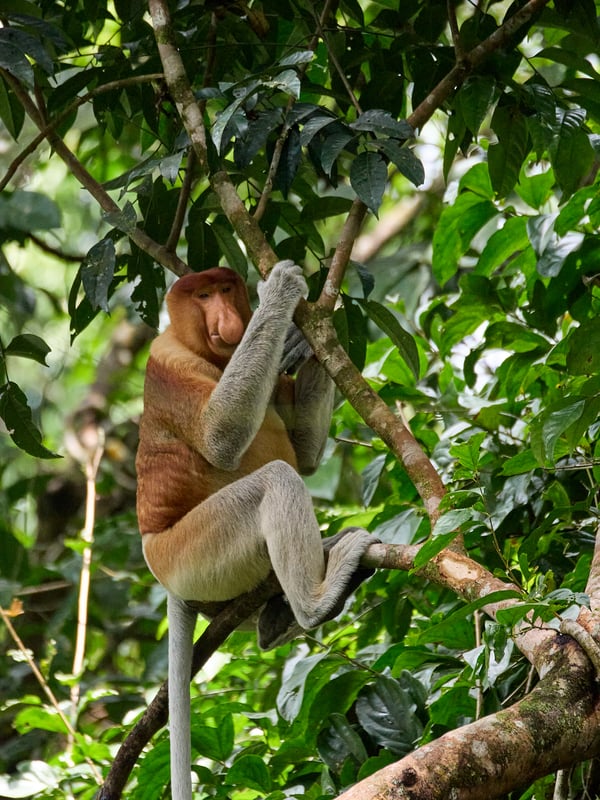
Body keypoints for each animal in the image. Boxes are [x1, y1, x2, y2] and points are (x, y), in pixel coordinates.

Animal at [135, 260, 376, 800]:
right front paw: (282, 288)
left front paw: (303, 335)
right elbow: (223, 437)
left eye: (227, 289)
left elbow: (305, 450)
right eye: (203, 296)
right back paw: (315, 602)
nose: (228, 319)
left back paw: (280, 612)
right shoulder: (168, 364)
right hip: (194, 550)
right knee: (275, 481)